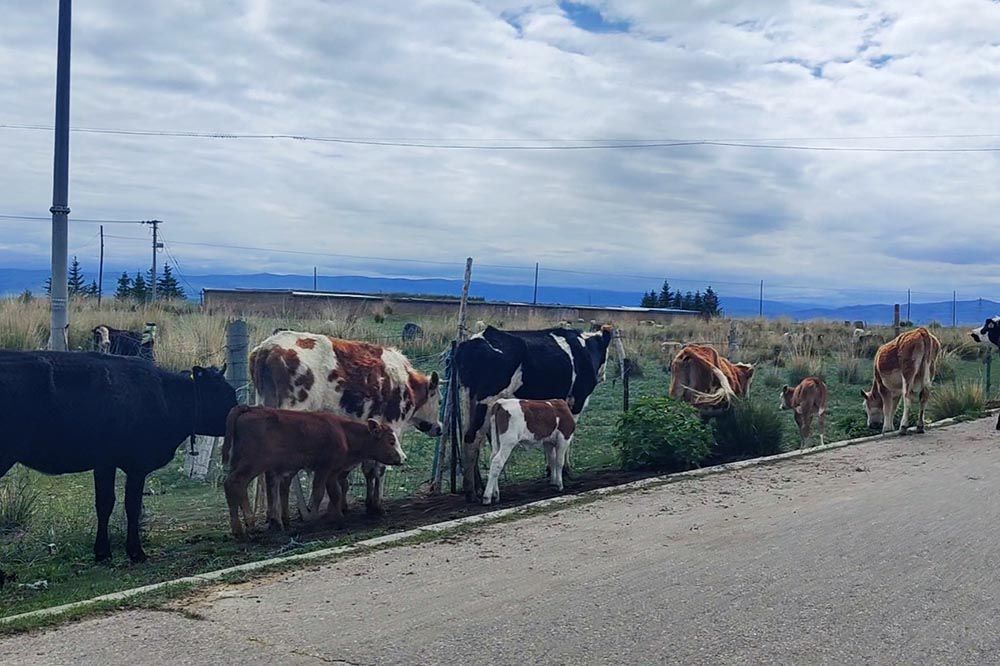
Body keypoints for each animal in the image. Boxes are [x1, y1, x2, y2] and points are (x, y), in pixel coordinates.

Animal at [0, 352, 235, 560]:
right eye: (224, 394)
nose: (240, 410)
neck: (165, 397)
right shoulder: (134, 464)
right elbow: (129, 505)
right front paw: (135, 552)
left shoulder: (105, 463)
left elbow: (105, 504)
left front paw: (103, 552)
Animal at [221, 402, 404, 536]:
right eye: (390, 441)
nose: (403, 458)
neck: (343, 433)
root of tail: (250, 408)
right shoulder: (323, 468)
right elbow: (318, 493)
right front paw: (312, 519)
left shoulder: (332, 472)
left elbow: (335, 493)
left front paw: (338, 518)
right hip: (252, 464)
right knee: (235, 483)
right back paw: (247, 525)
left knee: (232, 485)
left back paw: (241, 528)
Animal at [248, 330, 440, 520]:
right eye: (439, 399)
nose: (439, 428)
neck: (407, 382)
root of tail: (268, 347)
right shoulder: (392, 426)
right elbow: (379, 468)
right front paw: (376, 506)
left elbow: (364, 469)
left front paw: (363, 505)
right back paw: (295, 513)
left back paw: (273, 515)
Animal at [458, 324, 612, 500]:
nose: (604, 376)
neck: (585, 347)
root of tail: (471, 343)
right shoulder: (576, 402)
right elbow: (566, 440)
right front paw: (565, 471)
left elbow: (550, 445)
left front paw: (551, 472)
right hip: (486, 402)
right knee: (472, 438)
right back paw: (471, 491)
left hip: (469, 401)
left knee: (468, 437)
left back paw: (478, 487)